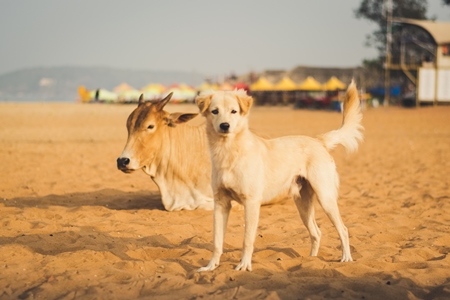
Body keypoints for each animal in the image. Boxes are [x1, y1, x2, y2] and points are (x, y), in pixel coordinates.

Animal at [195, 82, 364, 272]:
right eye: (214, 111)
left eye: (234, 111)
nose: (225, 126)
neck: (228, 152)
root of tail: (318, 140)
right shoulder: (220, 204)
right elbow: (217, 241)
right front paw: (210, 266)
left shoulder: (251, 203)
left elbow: (247, 240)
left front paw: (244, 265)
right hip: (303, 205)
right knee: (316, 232)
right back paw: (311, 260)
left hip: (326, 198)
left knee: (343, 229)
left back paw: (346, 258)